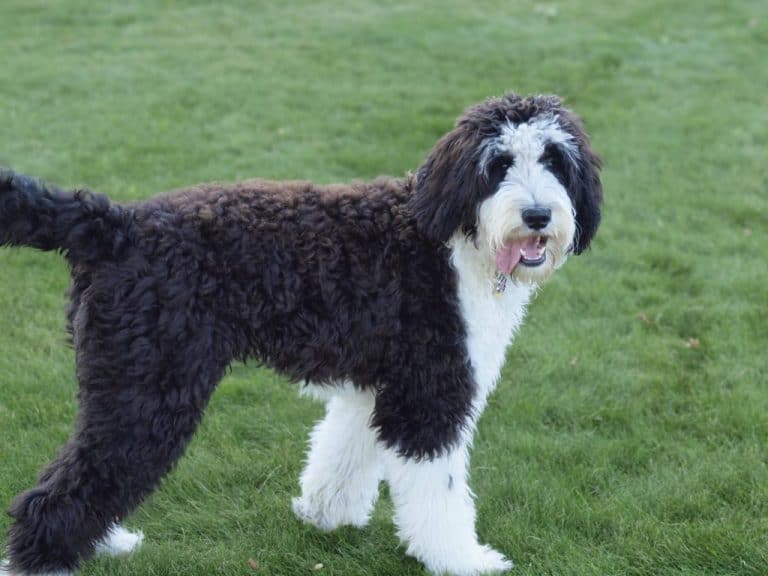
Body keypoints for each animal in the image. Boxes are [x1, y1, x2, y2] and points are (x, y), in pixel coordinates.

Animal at [0, 92, 600, 572]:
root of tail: (117, 224)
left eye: (554, 160)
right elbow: (442, 490)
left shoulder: (375, 385)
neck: (452, 235)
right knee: (58, 493)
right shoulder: (429, 395)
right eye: (499, 164)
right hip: (147, 393)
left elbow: (344, 449)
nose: (538, 215)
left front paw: (324, 512)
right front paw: (462, 559)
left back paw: (104, 542)